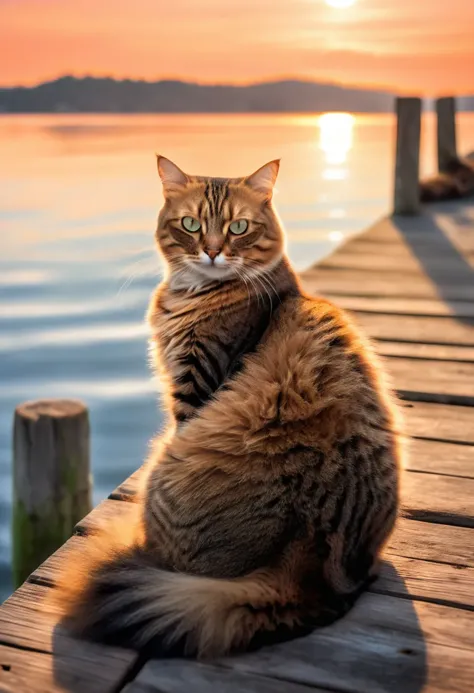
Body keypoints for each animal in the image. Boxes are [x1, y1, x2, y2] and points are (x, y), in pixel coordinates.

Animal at [57, 158, 402, 660]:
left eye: (238, 227)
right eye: (191, 225)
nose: (213, 252)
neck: (196, 292)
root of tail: (312, 561)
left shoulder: (195, 388)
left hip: (170, 467)